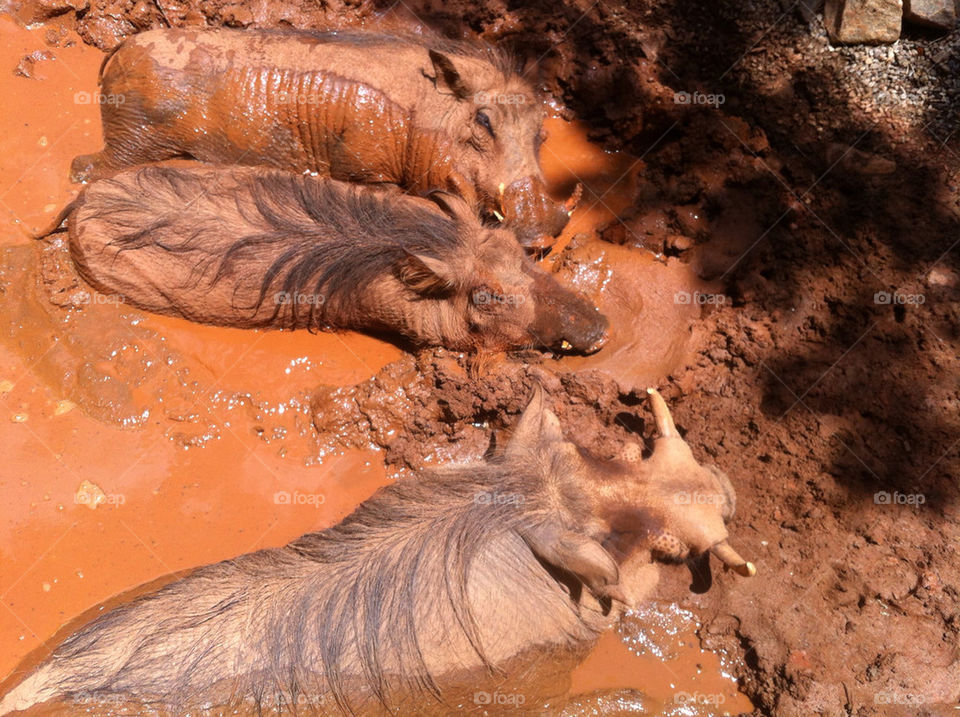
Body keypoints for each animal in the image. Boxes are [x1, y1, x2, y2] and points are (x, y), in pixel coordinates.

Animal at [71, 28, 577, 248]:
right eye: (484, 121)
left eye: (542, 133)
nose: (539, 239)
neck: (422, 113)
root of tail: (125, 44)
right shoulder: (368, 174)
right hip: (132, 142)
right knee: (84, 169)